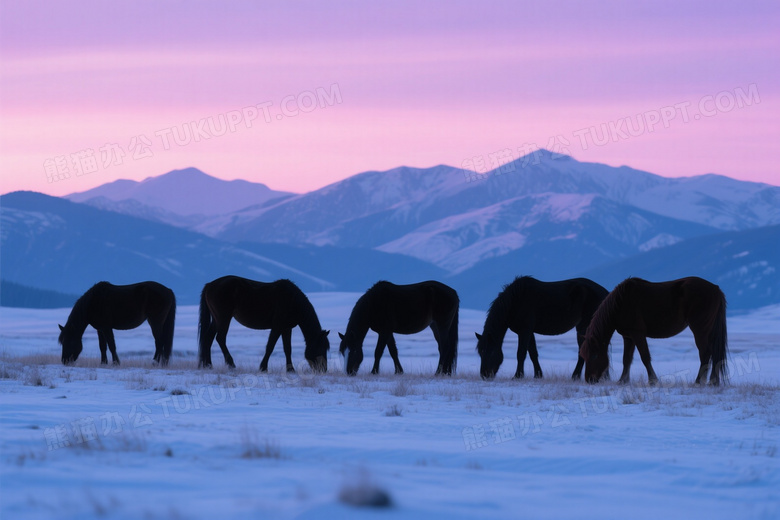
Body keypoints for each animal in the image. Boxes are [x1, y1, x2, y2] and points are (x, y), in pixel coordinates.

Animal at [198, 276, 330, 372]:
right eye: (321, 347)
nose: (323, 370)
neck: (293, 301)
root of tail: (209, 285)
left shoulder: (286, 328)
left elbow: (288, 349)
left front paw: (291, 370)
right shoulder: (277, 327)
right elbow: (270, 346)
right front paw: (263, 367)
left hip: (216, 320)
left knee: (208, 338)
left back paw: (208, 365)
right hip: (223, 318)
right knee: (220, 338)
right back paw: (231, 364)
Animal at [475, 276, 612, 380]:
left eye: (491, 352)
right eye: (480, 352)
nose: (484, 375)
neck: (515, 301)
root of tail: (606, 292)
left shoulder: (524, 331)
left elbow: (521, 353)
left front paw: (518, 376)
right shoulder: (528, 332)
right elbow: (533, 353)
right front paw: (538, 375)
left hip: (584, 327)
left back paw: (576, 376)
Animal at [581, 276, 728, 385]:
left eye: (594, 356)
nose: (589, 379)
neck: (621, 303)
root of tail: (716, 289)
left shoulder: (637, 334)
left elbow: (645, 357)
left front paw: (653, 380)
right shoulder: (628, 337)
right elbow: (626, 359)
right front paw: (623, 381)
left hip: (700, 329)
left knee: (705, 353)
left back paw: (698, 382)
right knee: (714, 353)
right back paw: (713, 382)